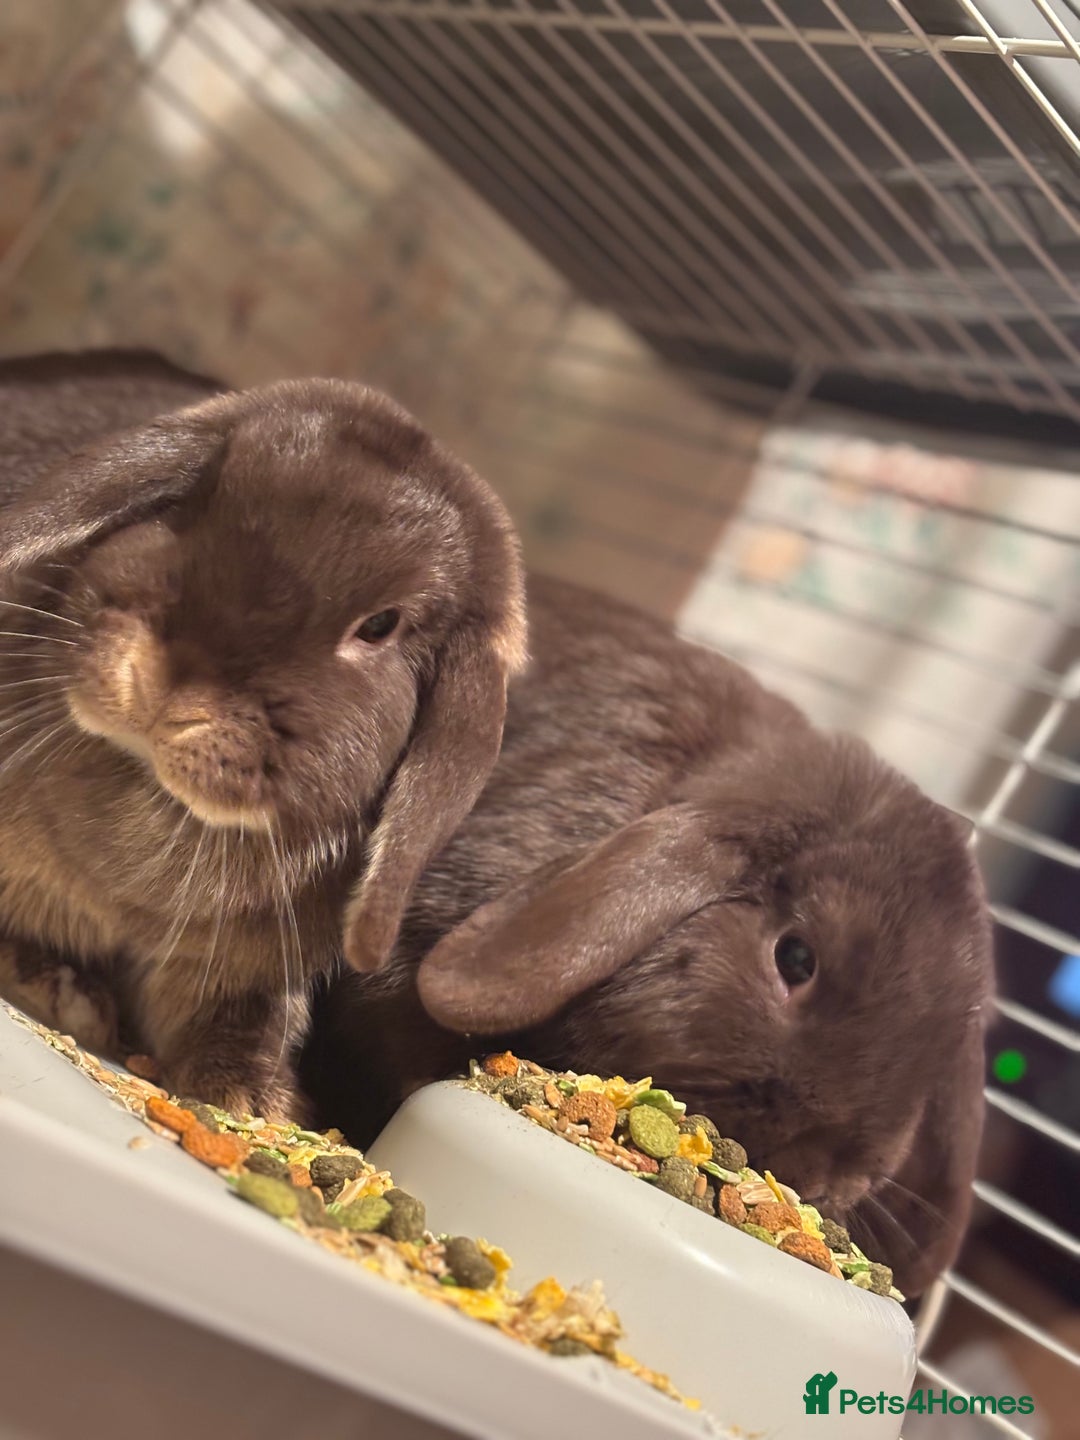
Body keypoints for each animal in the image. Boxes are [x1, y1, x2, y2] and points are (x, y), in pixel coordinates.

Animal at [0, 349, 526, 1119]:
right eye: (193, 504)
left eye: (381, 625)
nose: (171, 686)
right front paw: (58, 985)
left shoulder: (240, 971)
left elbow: (237, 1025)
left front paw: (253, 1100)